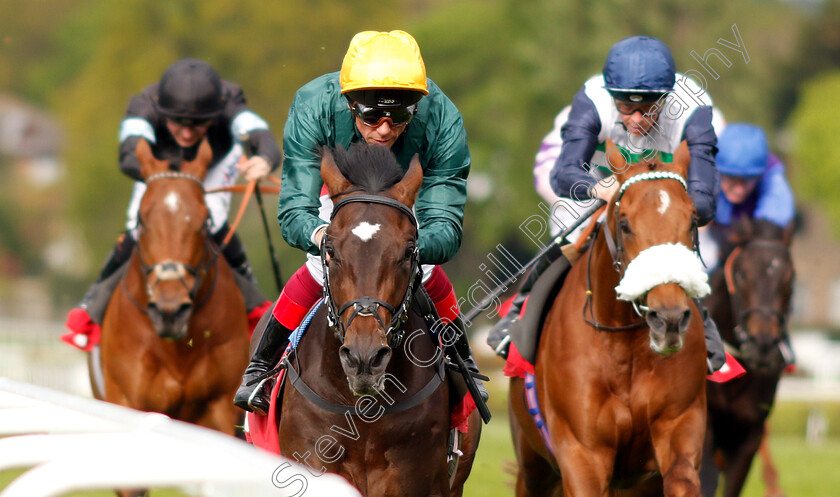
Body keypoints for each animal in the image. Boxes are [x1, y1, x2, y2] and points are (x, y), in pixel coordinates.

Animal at [97, 138, 249, 494]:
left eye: (204, 221)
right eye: (142, 219)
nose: (169, 310)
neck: (176, 348)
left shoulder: (222, 408)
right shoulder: (129, 405)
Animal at [508, 140, 712, 496]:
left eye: (692, 220)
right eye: (626, 224)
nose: (669, 320)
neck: (624, 344)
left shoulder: (678, 427)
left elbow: (682, 477)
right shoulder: (581, 453)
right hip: (533, 465)